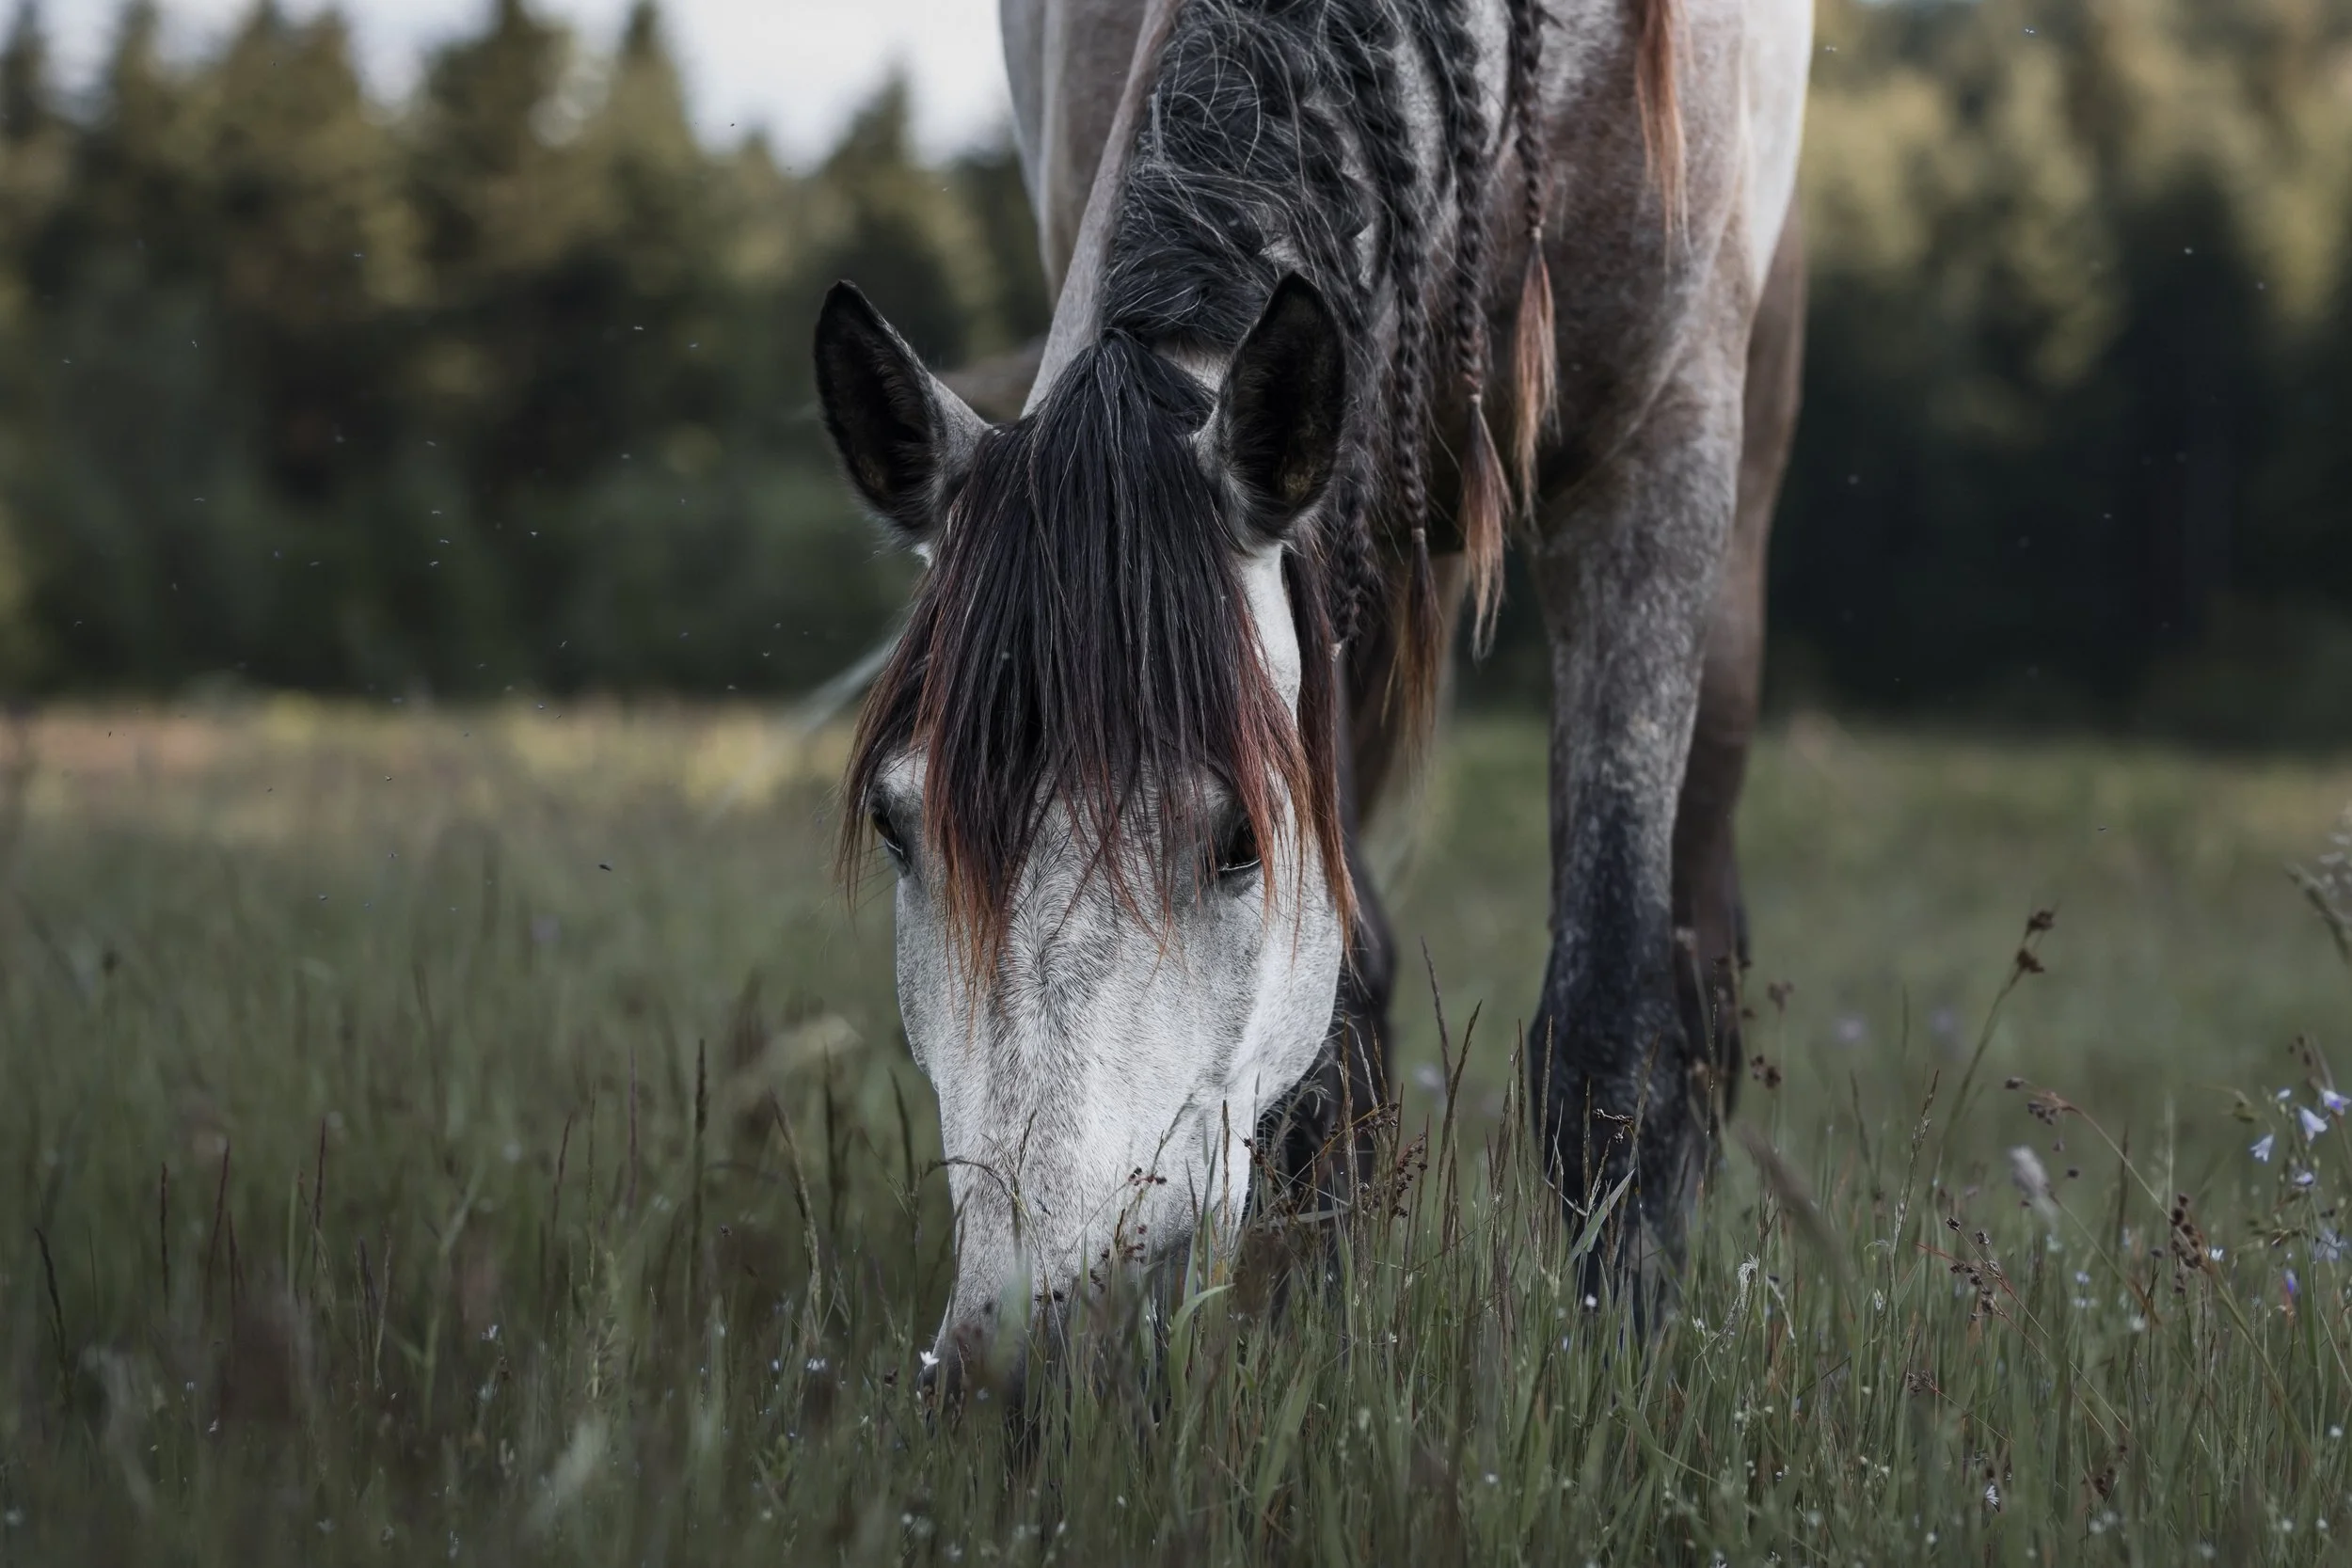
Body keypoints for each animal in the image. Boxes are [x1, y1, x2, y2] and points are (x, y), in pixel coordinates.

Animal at [813, 0, 1811, 1396]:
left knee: (1698, 955)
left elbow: (1609, 1029)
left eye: (1239, 841)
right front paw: (1301, 1365)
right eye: (900, 824)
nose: (1022, 1367)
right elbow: (1333, 1050)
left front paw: (1618, 1379)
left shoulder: (1660, 445)